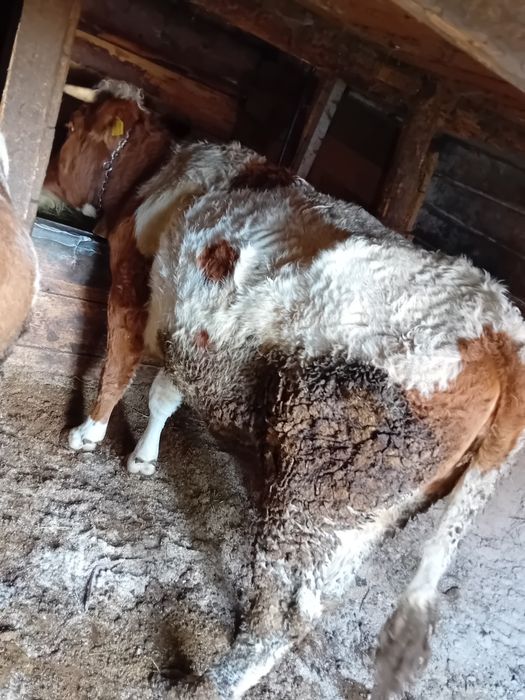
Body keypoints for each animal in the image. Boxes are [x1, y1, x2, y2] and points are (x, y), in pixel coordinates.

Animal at [46, 80, 525, 699]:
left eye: (72, 126)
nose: (48, 182)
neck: (164, 172)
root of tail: (501, 327)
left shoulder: (131, 287)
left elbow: (119, 365)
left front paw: (87, 432)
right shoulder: (194, 333)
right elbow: (163, 398)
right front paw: (144, 458)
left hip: (324, 491)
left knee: (285, 610)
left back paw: (214, 681)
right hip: (369, 517)